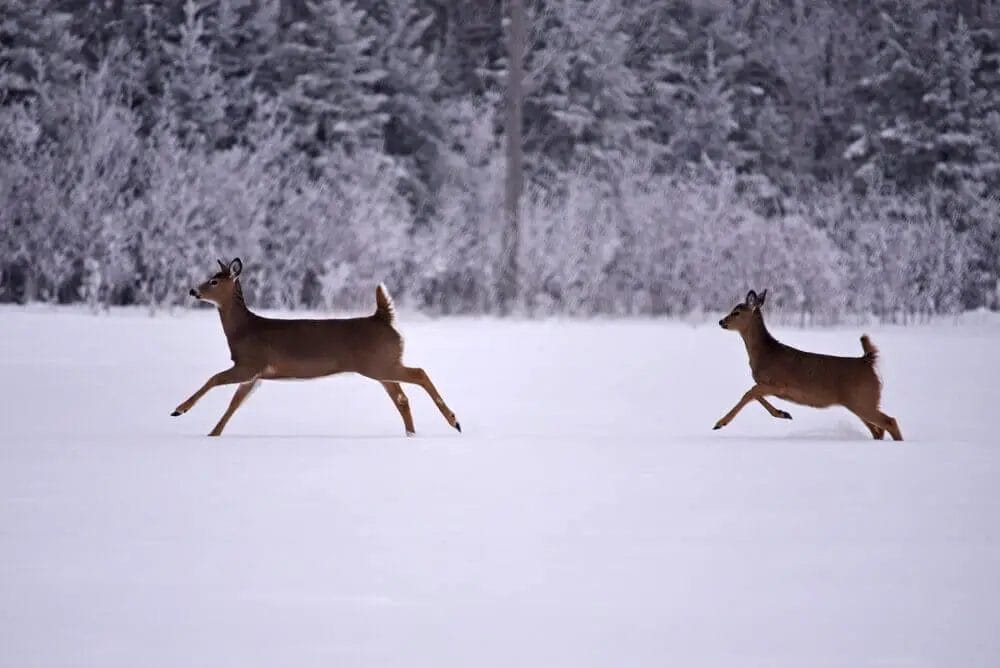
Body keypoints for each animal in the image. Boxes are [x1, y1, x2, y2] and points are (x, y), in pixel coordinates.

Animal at [170, 258, 461, 438]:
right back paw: (412, 434)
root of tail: (384, 318)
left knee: (420, 373)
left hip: (379, 363)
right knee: (402, 397)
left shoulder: (250, 363)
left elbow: (214, 379)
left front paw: (179, 409)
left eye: (214, 281)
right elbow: (234, 404)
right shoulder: (255, 374)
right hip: (382, 365)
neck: (243, 330)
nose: (193, 291)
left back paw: (454, 421)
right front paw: (212, 433)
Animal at [714, 289, 903, 441]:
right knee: (878, 430)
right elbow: (755, 395)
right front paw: (783, 414)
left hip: (862, 399)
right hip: (860, 402)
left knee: (890, 421)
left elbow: (749, 393)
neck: (765, 354)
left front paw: (720, 423)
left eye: (737, 312)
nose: (721, 321)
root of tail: (867, 361)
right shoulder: (768, 385)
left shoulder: (779, 384)